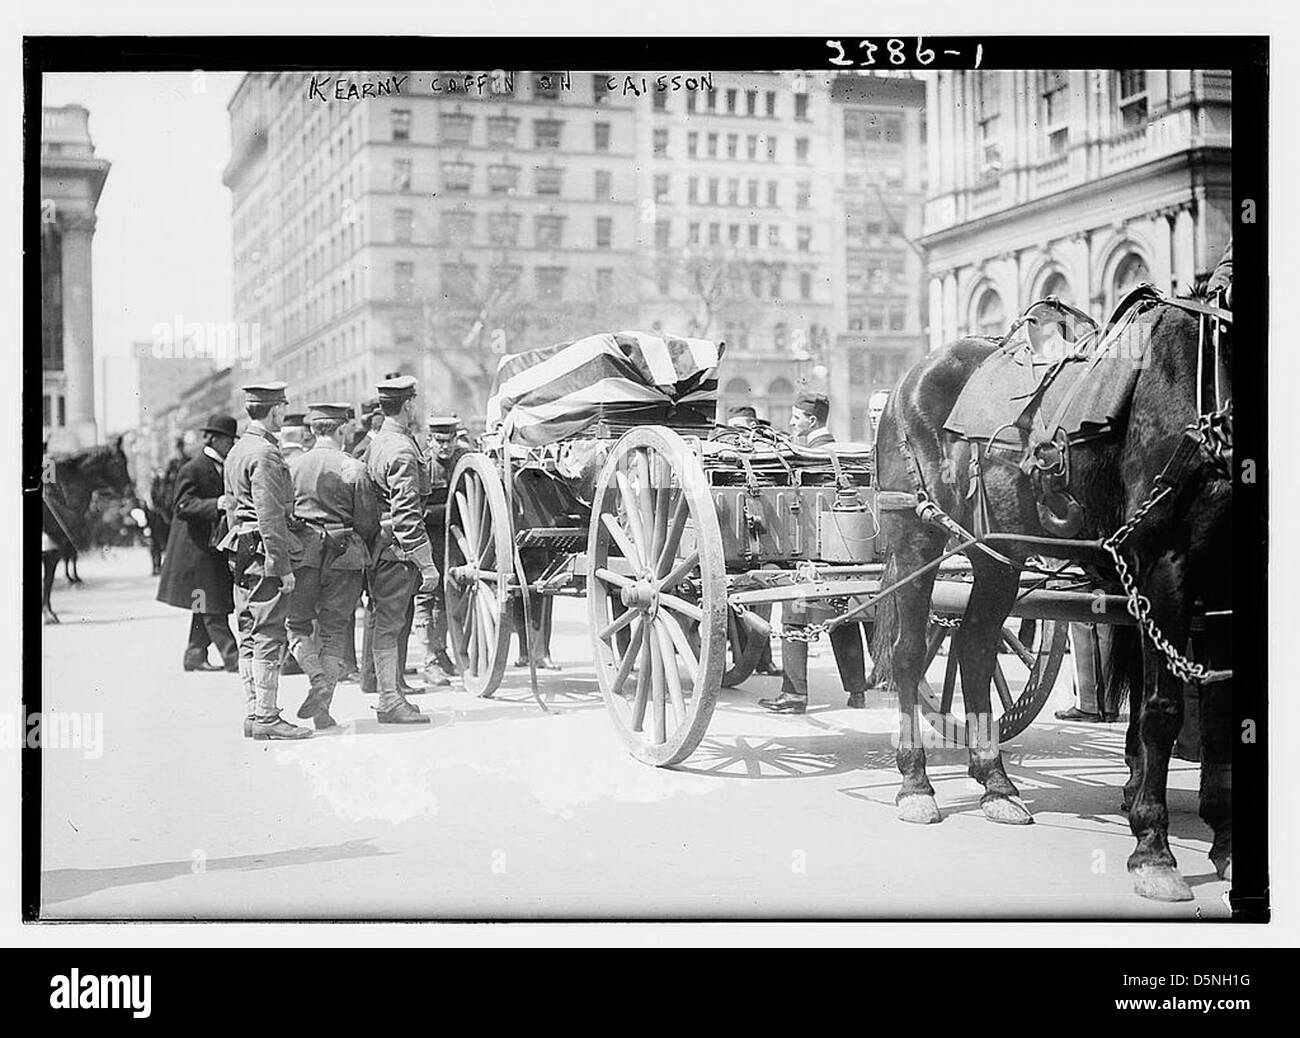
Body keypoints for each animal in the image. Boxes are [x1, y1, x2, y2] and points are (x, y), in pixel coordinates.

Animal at [873, 292, 1227, 900]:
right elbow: (1160, 710)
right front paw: (1153, 850)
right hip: (914, 536)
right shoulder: (1164, 569)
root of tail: (909, 380)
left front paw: (1222, 842)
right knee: (909, 653)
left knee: (975, 647)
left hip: (997, 554)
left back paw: (995, 783)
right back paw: (916, 784)